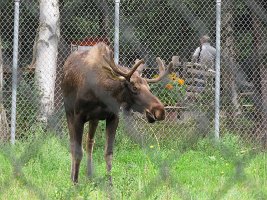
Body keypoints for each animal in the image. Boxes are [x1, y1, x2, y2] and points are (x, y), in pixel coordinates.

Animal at [61, 42, 173, 183]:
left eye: (149, 88)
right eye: (134, 88)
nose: (160, 111)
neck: (102, 94)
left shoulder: (113, 117)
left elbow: (108, 153)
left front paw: (110, 183)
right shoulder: (78, 116)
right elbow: (77, 151)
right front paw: (75, 182)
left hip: (94, 119)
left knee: (90, 142)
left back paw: (89, 174)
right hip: (69, 112)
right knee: (73, 144)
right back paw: (73, 176)